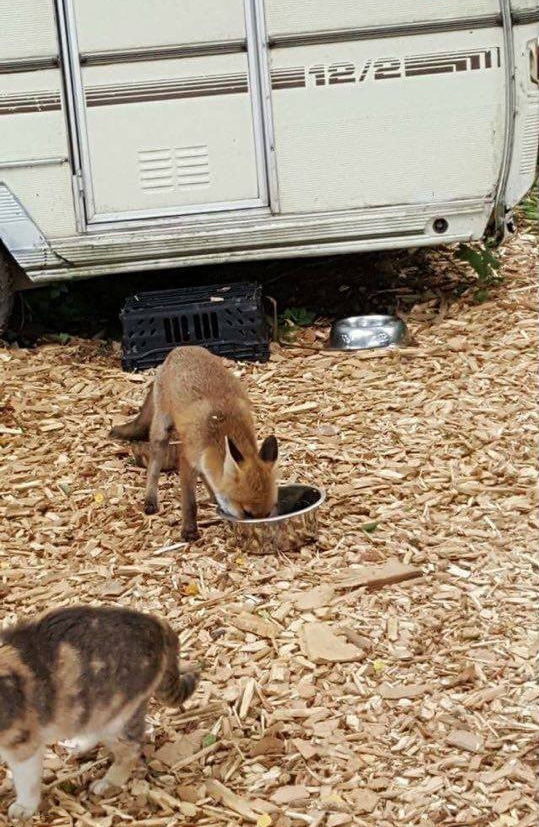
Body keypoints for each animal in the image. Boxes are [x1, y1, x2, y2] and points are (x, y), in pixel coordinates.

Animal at [109, 346, 278, 540]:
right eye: (247, 513)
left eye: (267, 513)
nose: (261, 533)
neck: (222, 429)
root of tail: (180, 348)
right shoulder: (187, 460)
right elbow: (190, 504)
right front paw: (189, 531)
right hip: (162, 430)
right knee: (153, 468)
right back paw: (150, 499)